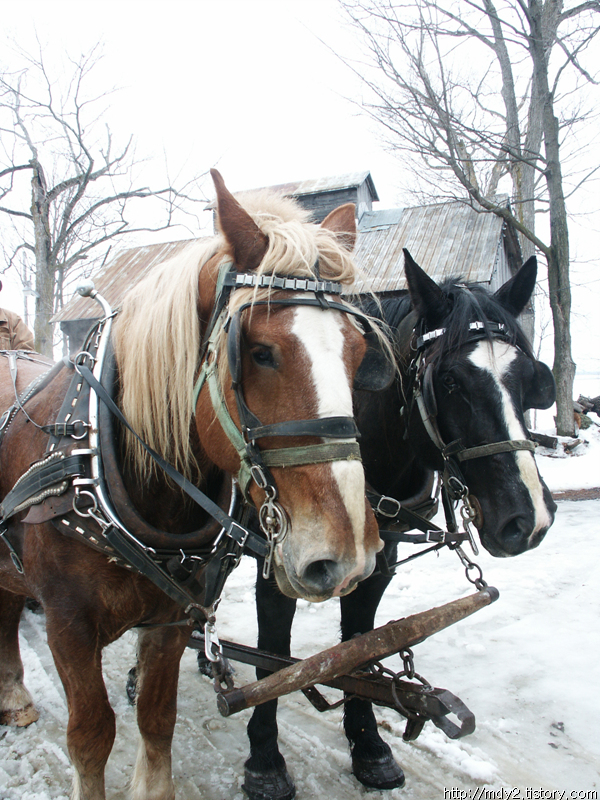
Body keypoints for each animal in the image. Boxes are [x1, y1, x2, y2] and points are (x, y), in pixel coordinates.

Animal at [0, 170, 384, 800]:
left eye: (357, 353)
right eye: (258, 352)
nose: (346, 559)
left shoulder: (172, 620)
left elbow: (157, 720)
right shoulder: (67, 626)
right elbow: (91, 736)